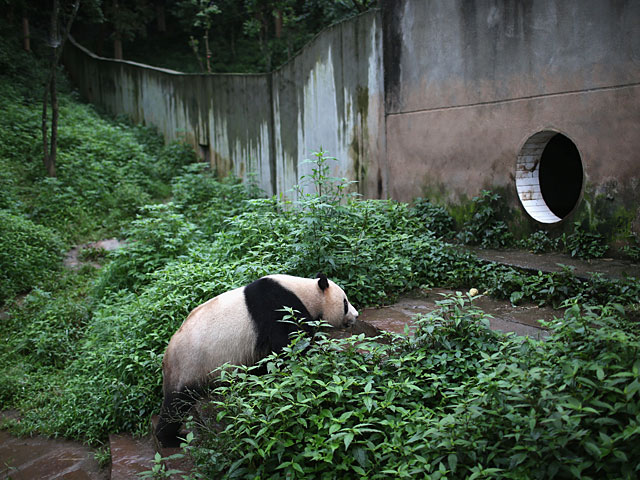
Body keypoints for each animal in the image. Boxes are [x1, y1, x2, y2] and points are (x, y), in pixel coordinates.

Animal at [153, 276, 358, 448]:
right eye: (345, 302)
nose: (356, 316)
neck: (304, 292)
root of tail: (165, 358)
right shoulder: (278, 308)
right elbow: (290, 344)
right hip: (189, 364)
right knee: (176, 405)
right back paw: (170, 439)